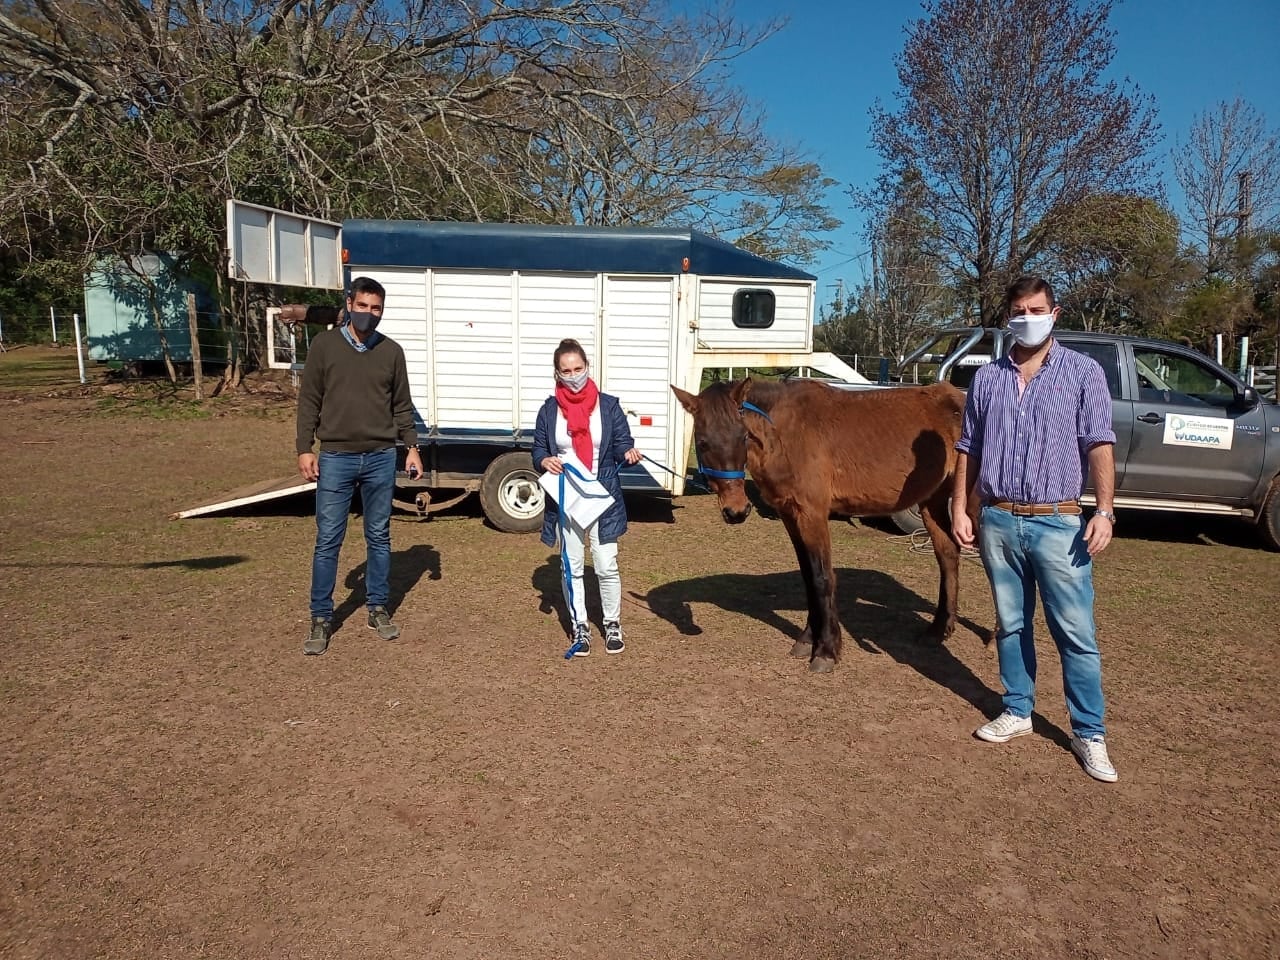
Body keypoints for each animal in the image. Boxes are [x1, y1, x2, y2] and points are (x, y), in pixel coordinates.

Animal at [670, 378, 977, 670]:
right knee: (948, 554)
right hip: (933, 501)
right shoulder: (790, 515)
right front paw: (808, 639)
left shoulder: (813, 514)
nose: (736, 511)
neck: (785, 433)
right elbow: (808, 576)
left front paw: (826, 650)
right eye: (703, 442)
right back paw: (938, 630)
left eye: (743, 436)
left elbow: (822, 577)